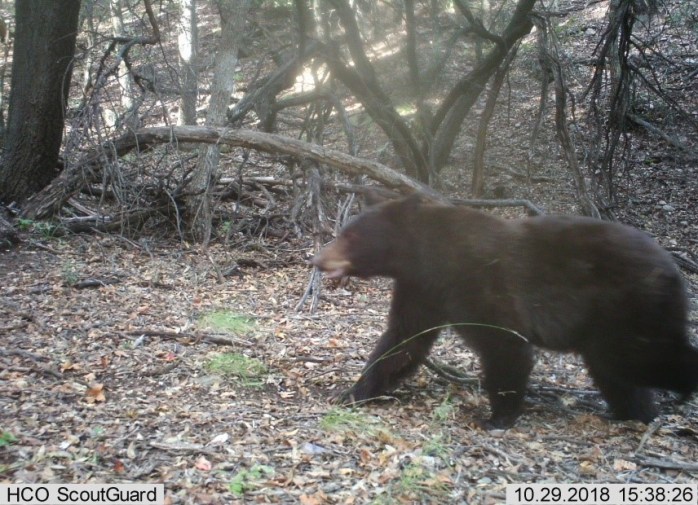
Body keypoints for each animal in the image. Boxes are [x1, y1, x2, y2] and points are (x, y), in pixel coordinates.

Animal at [311, 194, 698, 429]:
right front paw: (353, 391)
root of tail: (673, 267)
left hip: (630, 305)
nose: (316, 259)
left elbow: (503, 342)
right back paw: (632, 413)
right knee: (615, 370)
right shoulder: (423, 289)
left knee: (646, 357)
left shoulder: (478, 277)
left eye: (350, 236)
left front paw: (499, 417)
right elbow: (403, 340)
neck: (425, 256)